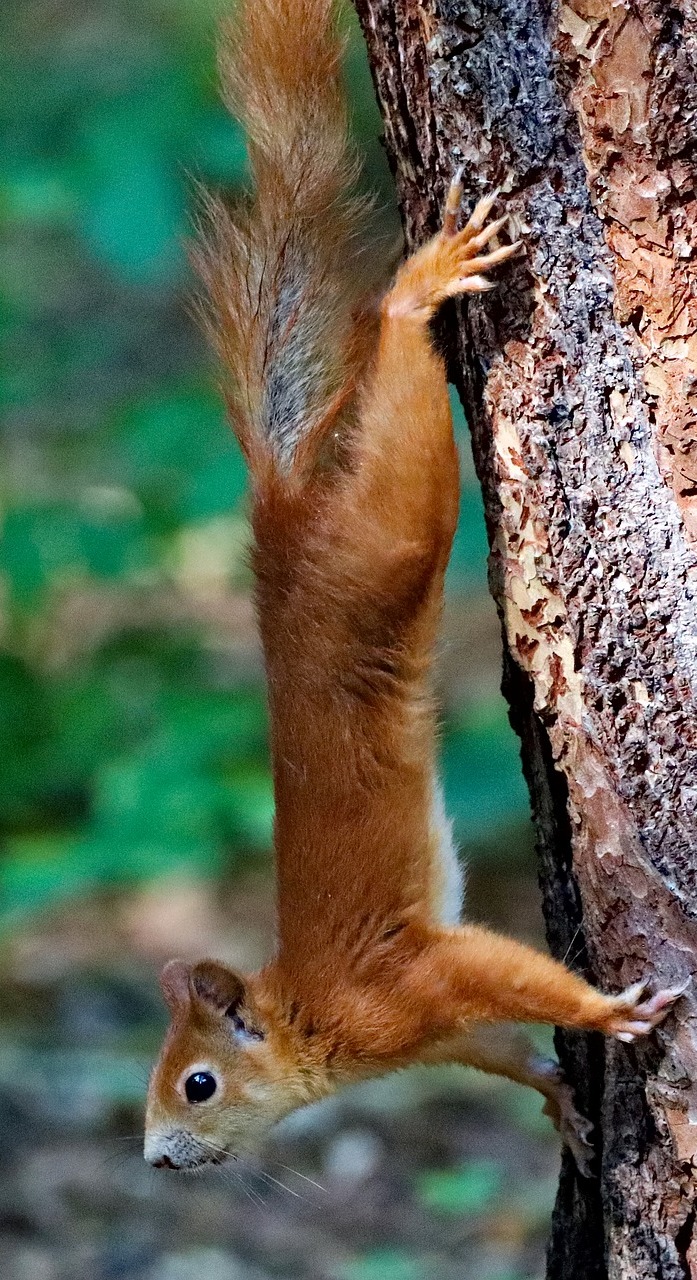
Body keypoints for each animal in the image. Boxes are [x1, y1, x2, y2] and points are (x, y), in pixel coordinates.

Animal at [142, 0, 685, 1177]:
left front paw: (605, 1012)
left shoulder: (403, 984)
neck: (309, 1015)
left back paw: (417, 292)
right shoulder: (430, 1030)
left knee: (400, 414)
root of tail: (282, 525)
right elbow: (497, 1045)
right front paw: (558, 1098)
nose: (154, 1157)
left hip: (387, 534)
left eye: (198, 1083)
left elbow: (506, 974)